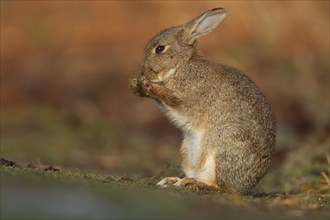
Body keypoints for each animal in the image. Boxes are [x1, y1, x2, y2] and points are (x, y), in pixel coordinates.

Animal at [129, 8, 276, 194]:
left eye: (160, 48)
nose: (144, 72)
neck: (182, 66)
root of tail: (246, 186)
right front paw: (135, 85)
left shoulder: (187, 98)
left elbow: (170, 98)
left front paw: (145, 84)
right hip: (187, 150)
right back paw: (173, 181)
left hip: (220, 148)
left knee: (221, 187)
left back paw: (192, 184)